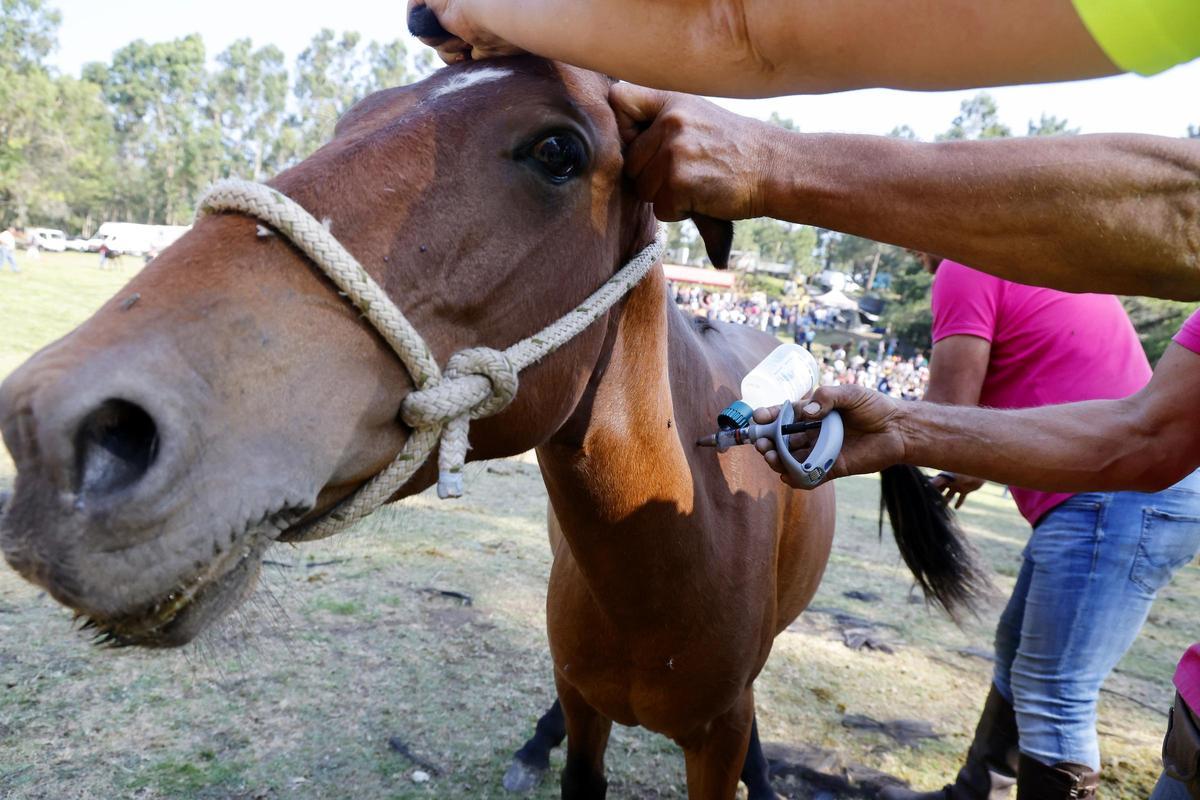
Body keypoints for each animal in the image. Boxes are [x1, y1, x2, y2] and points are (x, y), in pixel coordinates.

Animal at [0, 47, 984, 798]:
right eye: (351, 119)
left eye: (557, 149)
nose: (60, 431)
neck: (672, 554)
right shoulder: (589, 709)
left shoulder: (715, 732)